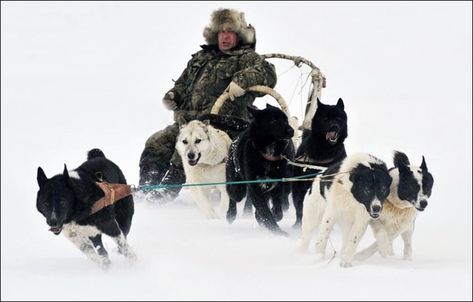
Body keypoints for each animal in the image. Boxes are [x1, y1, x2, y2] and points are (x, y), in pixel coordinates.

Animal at [223, 105, 294, 235]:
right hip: (237, 187)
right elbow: (265, 212)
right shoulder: (255, 189)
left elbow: (277, 211)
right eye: (274, 120)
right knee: (233, 196)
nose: (291, 131)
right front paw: (277, 231)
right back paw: (230, 214)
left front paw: (270, 219)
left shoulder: (276, 186)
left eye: (286, 119)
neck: (268, 156)